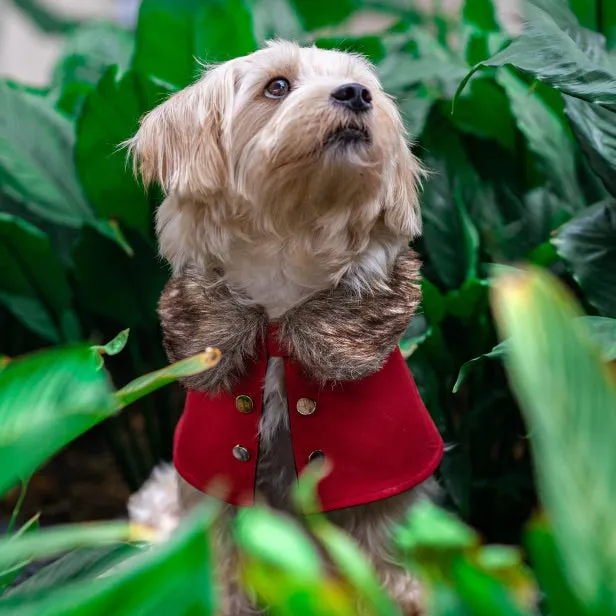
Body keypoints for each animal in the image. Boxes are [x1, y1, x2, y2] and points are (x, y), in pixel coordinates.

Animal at [126, 41, 442, 612]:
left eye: (366, 85)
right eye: (276, 86)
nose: (356, 94)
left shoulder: (384, 492)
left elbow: (390, 574)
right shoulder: (215, 494)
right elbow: (225, 576)